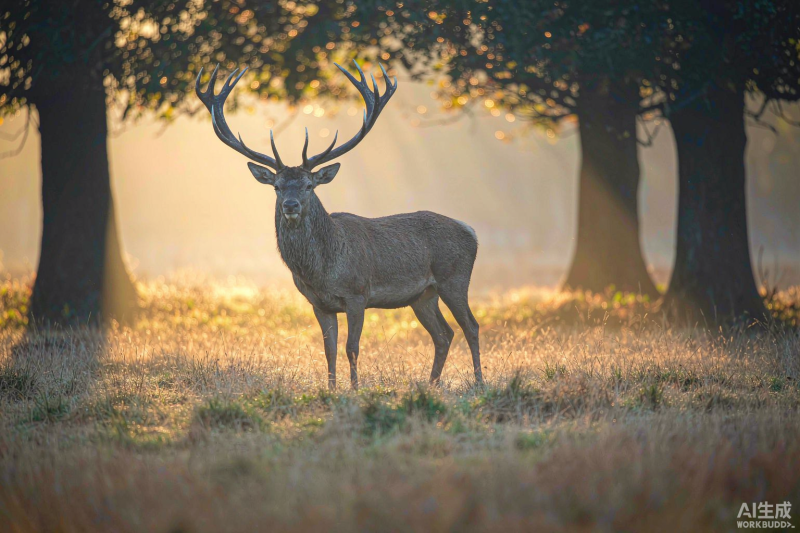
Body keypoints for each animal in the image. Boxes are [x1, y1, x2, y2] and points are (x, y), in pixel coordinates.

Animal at [195, 61, 482, 390]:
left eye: (308, 185)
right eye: (277, 187)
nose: (290, 205)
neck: (321, 270)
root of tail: (471, 231)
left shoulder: (358, 293)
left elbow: (352, 347)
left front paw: (356, 390)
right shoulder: (318, 303)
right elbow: (329, 349)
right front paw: (332, 390)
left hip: (454, 277)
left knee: (471, 326)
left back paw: (479, 382)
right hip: (423, 296)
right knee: (443, 334)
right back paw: (431, 384)